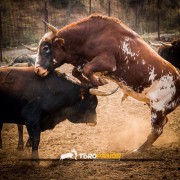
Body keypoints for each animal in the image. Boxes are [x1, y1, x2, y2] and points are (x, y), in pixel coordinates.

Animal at [34, 14, 179, 152]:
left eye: (46, 48)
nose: (37, 69)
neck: (91, 36)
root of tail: (177, 79)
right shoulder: (84, 63)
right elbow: (77, 71)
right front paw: (94, 82)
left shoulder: (107, 61)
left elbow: (87, 70)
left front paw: (97, 84)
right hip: (154, 106)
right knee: (162, 123)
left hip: (158, 108)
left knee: (156, 130)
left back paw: (137, 150)